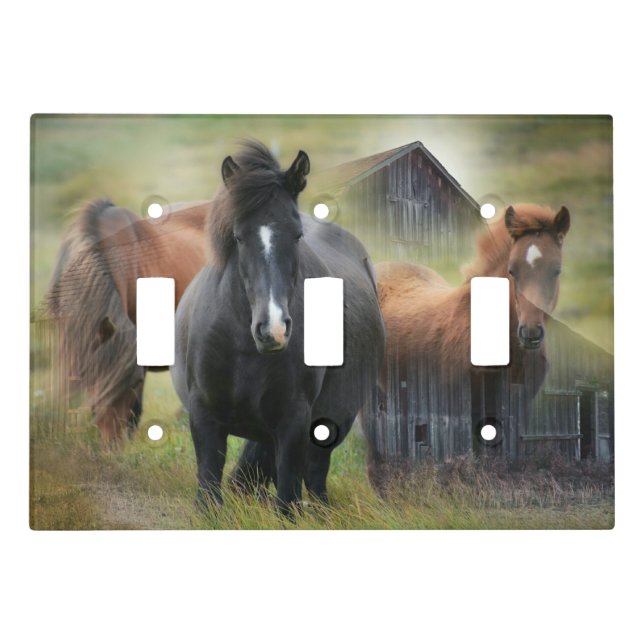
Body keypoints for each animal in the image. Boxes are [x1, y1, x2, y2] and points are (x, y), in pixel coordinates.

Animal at [171, 141, 385, 515]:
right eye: (238, 237)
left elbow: (287, 497)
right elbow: (209, 487)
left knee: (315, 474)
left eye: (297, 235)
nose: (273, 330)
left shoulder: (294, 420)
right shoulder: (204, 415)